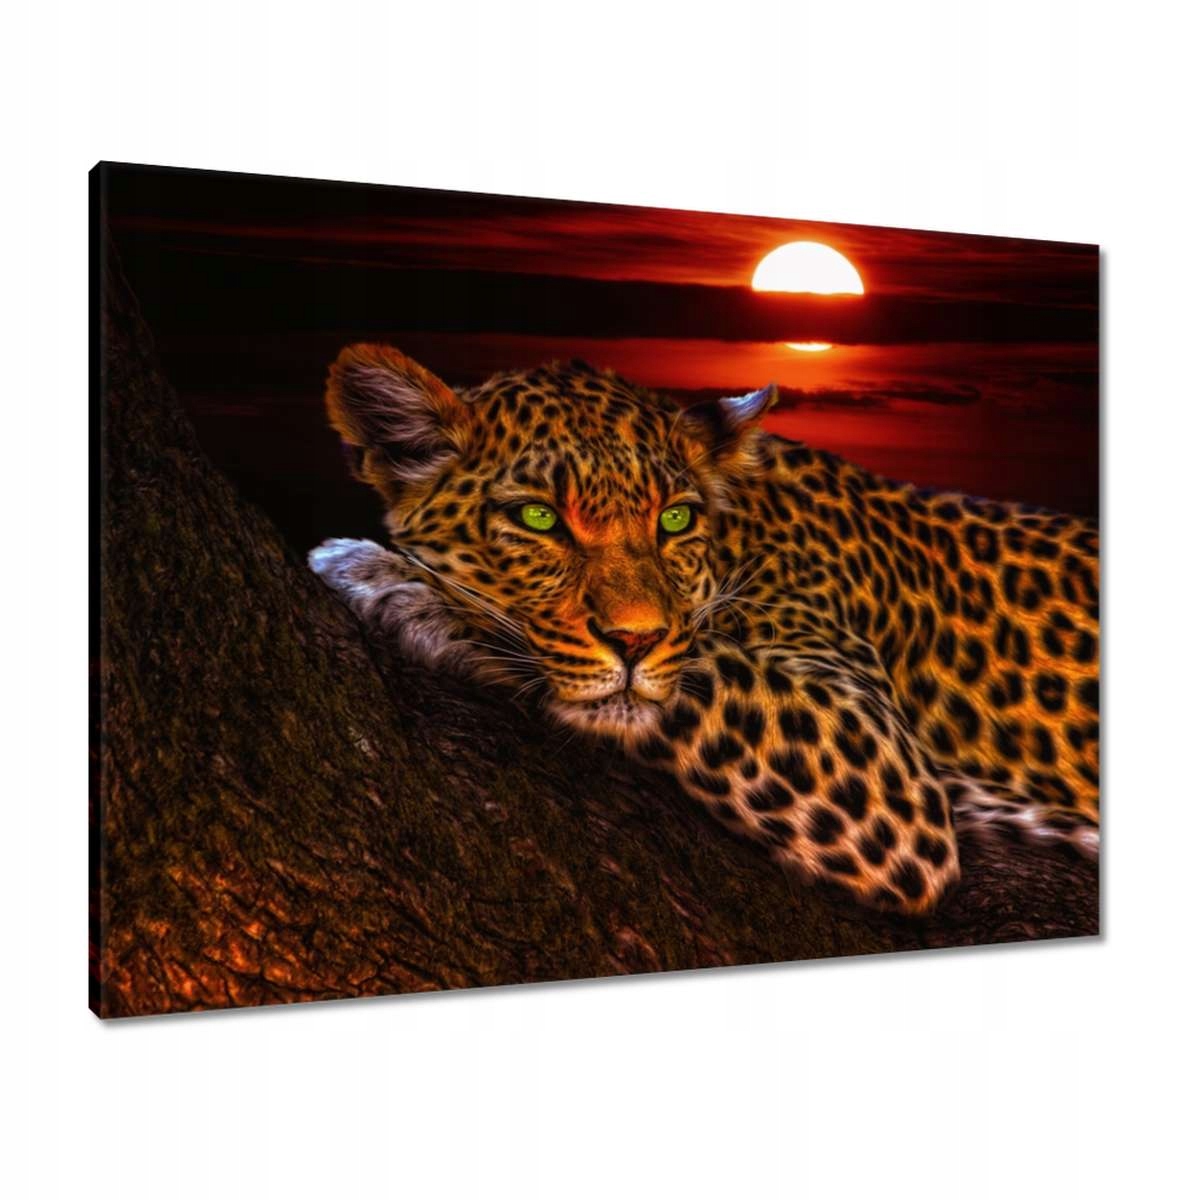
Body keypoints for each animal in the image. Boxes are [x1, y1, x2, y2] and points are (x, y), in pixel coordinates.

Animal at [309, 343, 1100, 916]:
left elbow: (700, 668)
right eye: (538, 518)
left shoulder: (884, 768)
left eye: (674, 519)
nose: (634, 641)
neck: (742, 528)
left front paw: (393, 580)